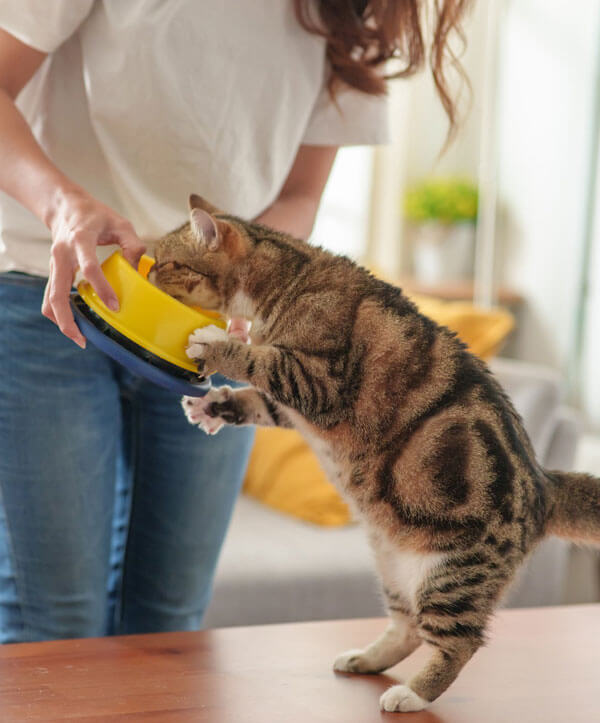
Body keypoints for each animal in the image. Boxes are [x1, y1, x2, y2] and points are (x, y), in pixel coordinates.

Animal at [150, 193, 600, 713]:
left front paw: (214, 344)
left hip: (451, 575)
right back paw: (365, 659)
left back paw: (413, 693)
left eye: (167, 263)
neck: (289, 278)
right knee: (408, 627)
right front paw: (214, 404)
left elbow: (256, 360)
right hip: (393, 566)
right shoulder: (293, 405)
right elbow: (257, 398)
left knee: (460, 641)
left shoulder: (317, 381)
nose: (145, 269)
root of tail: (544, 484)